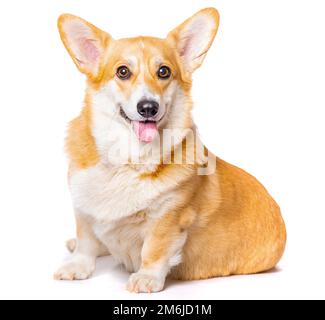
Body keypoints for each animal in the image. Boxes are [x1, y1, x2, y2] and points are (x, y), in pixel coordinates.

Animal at [53, 7, 286, 292]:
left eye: (164, 71)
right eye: (122, 71)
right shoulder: (83, 207)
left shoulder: (169, 217)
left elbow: (153, 250)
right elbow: (86, 238)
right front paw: (77, 265)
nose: (148, 107)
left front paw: (146, 278)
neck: (128, 159)